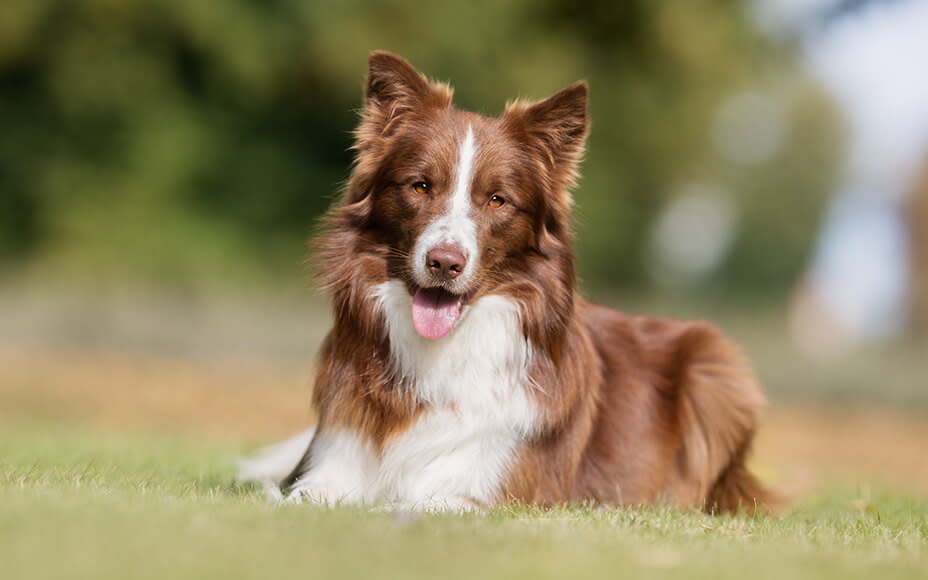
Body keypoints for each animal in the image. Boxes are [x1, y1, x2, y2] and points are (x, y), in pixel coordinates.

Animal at [236, 49, 772, 512]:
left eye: (497, 200)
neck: (444, 350)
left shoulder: (483, 490)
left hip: (715, 365)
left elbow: (408, 501)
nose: (444, 263)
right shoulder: (333, 465)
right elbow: (303, 497)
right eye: (420, 186)